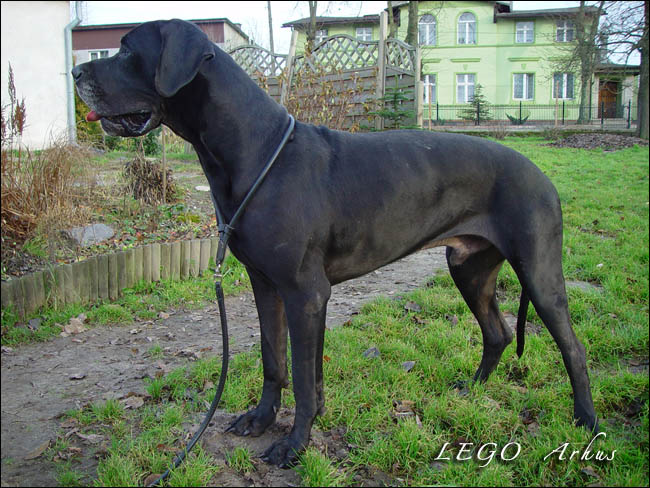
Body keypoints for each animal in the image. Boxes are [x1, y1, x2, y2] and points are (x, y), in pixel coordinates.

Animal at [72, 19, 597, 467]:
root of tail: (543, 175)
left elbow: (305, 378)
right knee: (498, 333)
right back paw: (472, 389)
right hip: (469, 267)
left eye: (126, 50)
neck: (255, 152)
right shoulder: (267, 286)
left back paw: (586, 423)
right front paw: (262, 419)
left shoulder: (305, 293)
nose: (76, 71)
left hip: (539, 273)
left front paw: (294, 445)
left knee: (573, 347)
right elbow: (274, 359)